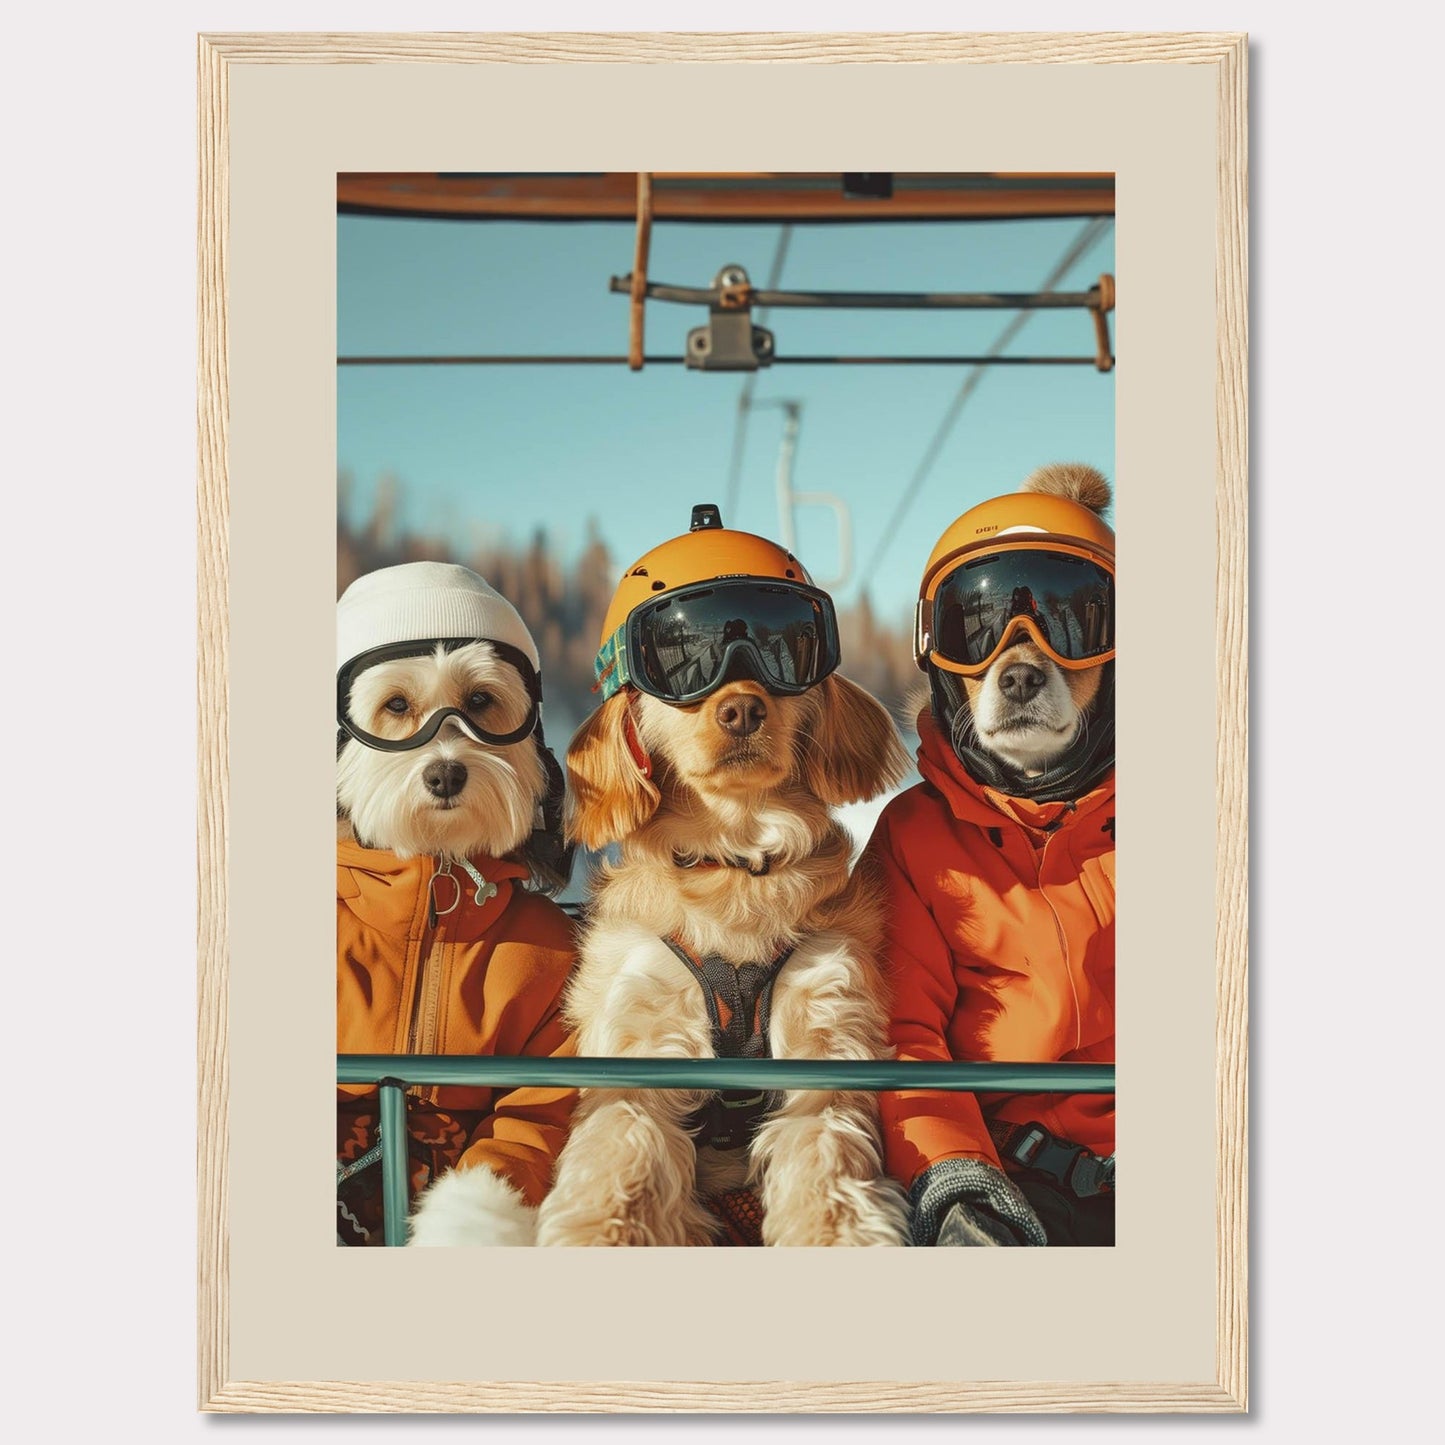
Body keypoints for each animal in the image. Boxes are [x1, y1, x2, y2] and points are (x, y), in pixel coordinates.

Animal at [537, 670, 907, 1248]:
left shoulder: (826, 1018)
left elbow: (826, 1157)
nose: (742, 711)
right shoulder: (641, 1033)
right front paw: (600, 1235)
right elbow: (621, 1149)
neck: (735, 861)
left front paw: (837, 1235)